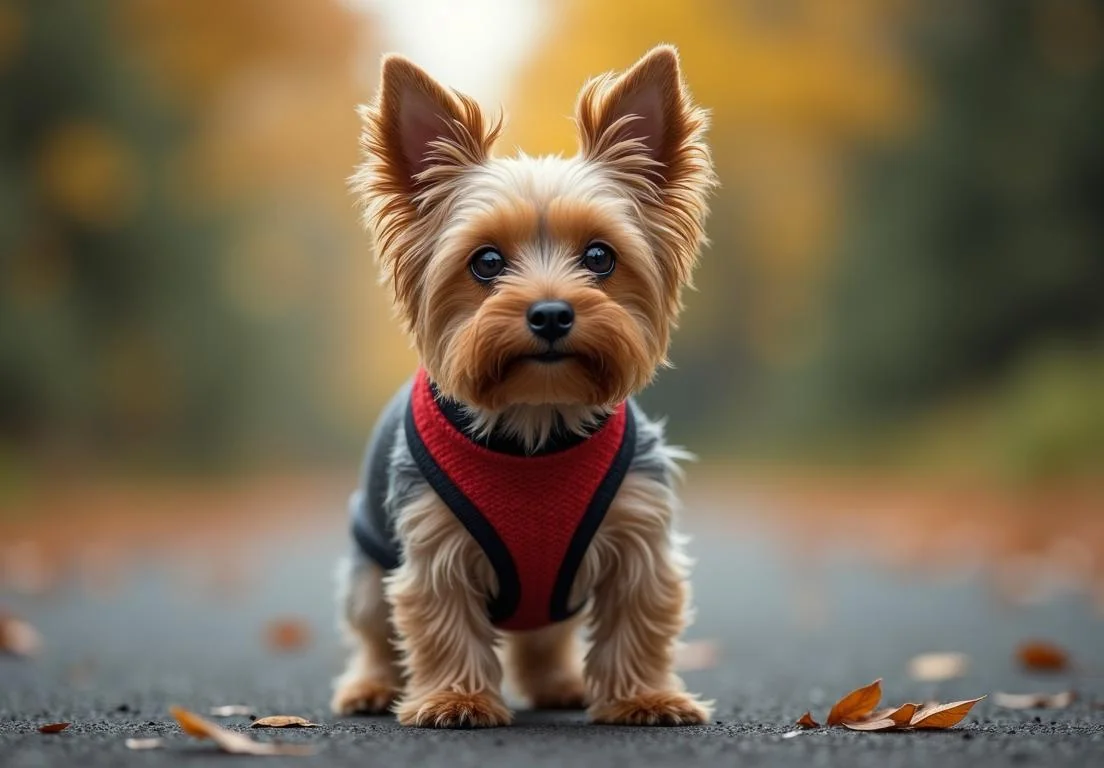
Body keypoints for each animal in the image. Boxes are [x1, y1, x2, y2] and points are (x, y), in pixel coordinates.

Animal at [331, 44, 719, 728]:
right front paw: (456, 700)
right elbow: (440, 622)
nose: (551, 314)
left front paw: (644, 697)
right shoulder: (430, 541)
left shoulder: (640, 532)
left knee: (544, 638)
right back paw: (372, 689)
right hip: (367, 559)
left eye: (600, 257)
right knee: (375, 628)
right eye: (485, 261)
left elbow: (640, 618)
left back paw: (560, 685)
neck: (538, 418)